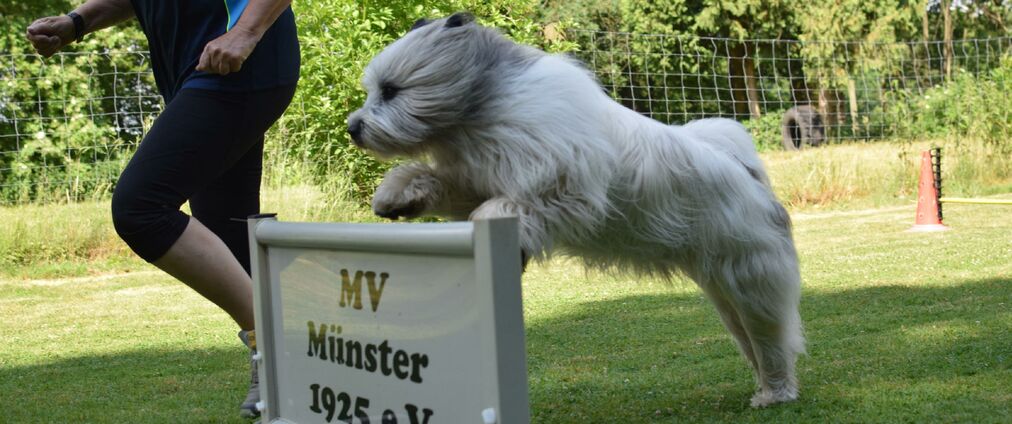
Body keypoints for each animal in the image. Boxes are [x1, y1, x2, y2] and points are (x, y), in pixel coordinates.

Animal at [348, 13, 805, 408]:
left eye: (391, 90)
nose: (354, 127)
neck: (483, 112)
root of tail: (744, 169)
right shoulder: (474, 178)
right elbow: (443, 184)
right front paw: (398, 193)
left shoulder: (564, 188)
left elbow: (513, 205)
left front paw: (499, 231)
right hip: (724, 291)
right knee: (753, 342)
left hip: (751, 281)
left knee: (773, 341)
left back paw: (775, 393)